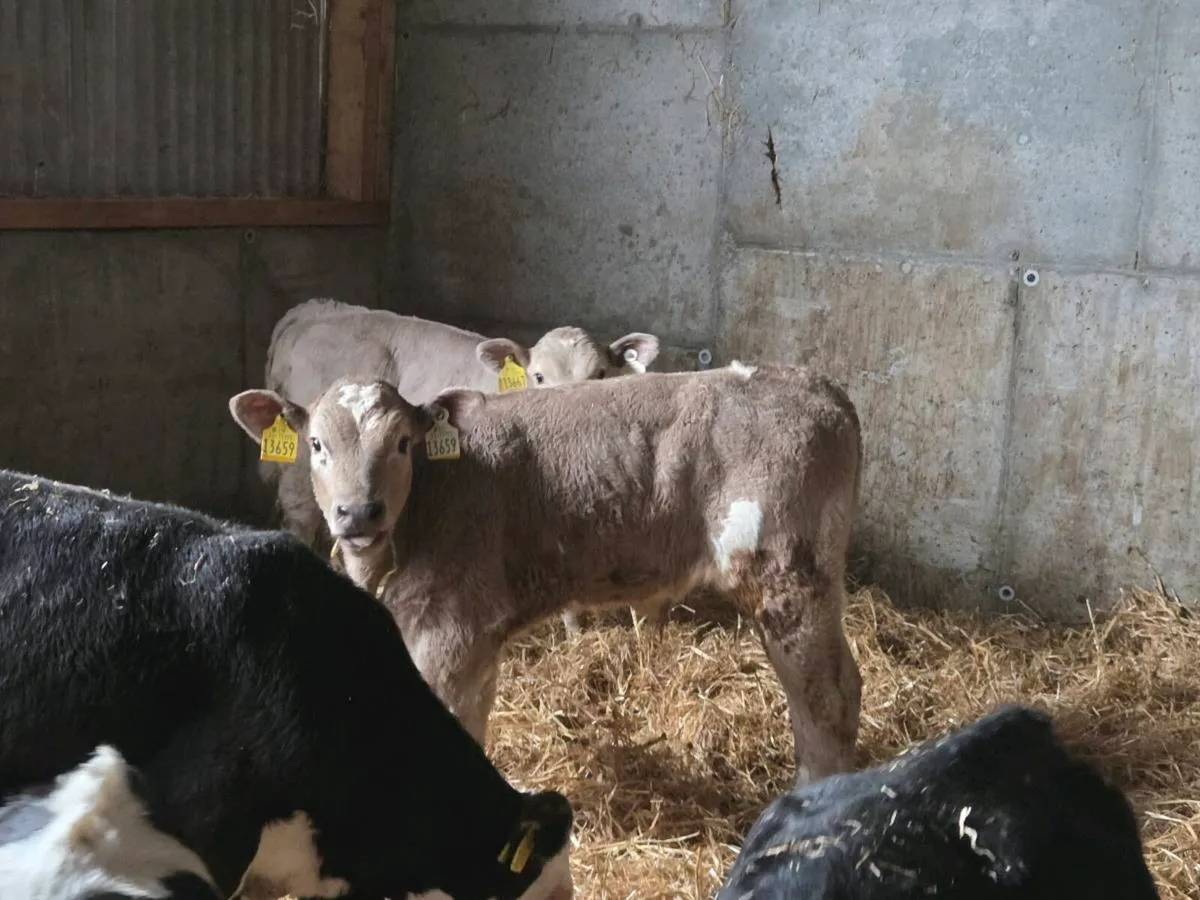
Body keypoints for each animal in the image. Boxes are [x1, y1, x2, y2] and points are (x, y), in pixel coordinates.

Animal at [228, 361, 864, 786]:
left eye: (404, 443)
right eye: (315, 444)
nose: (359, 511)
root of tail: (815, 385)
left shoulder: (451, 630)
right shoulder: (478, 636)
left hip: (785, 573)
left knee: (823, 700)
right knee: (847, 686)